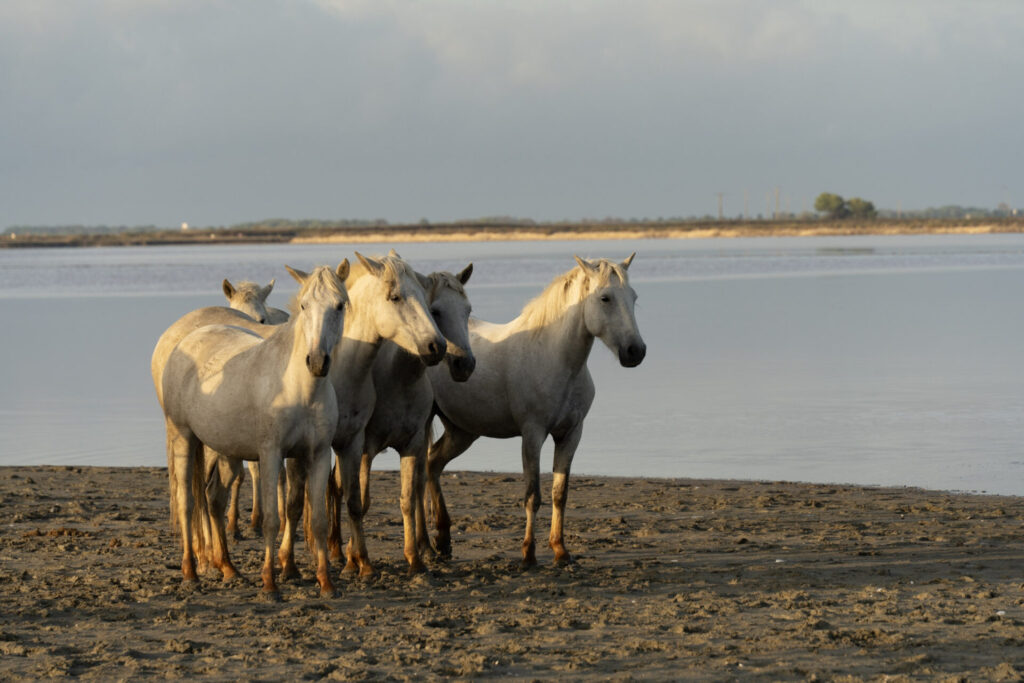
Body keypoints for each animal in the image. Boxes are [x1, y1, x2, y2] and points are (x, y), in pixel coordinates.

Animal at [156, 262, 349, 598]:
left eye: (339, 305)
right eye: (303, 305)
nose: (316, 362)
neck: (300, 387)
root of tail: (186, 340)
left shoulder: (318, 454)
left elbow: (318, 521)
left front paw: (327, 584)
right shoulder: (271, 454)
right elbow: (272, 518)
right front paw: (270, 584)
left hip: (224, 451)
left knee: (214, 498)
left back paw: (229, 569)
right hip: (183, 437)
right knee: (187, 502)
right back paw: (191, 573)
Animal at [351, 264, 475, 573]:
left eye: (467, 310)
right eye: (436, 311)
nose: (465, 364)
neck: (397, 377)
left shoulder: (414, 440)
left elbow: (410, 494)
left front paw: (418, 554)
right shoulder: (364, 447)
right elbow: (361, 498)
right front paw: (353, 557)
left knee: (420, 481)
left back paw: (428, 547)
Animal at [425, 254, 646, 567]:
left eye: (633, 297)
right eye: (605, 298)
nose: (635, 351)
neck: (555, 358)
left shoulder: (570, 435)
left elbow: (559, 493)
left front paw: (560, 551)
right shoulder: (533, 435)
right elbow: (533, 495)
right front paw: (528, 554)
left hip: (462, 431)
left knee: (432, 463)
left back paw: (443, 541)